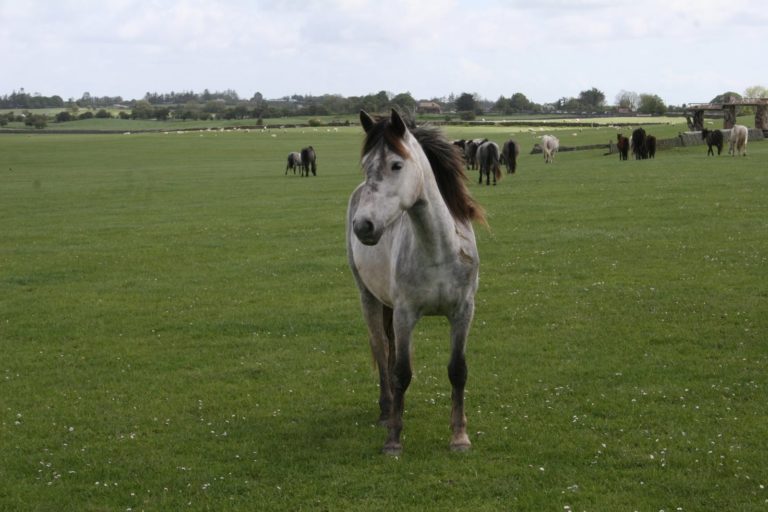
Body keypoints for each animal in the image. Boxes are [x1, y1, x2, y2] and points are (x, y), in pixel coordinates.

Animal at [347, 109, 485, 455]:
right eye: (366, 165)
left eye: (396, 165)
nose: (363, 226)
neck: (438, 248)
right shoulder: (405, 314)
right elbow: (401, 372)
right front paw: (394, 439)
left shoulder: (463, 312)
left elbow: (457, 371)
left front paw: (459, 436)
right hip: (369, 298)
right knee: (382, 349)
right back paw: (386, 410)